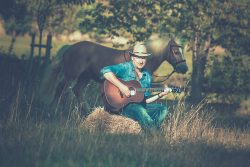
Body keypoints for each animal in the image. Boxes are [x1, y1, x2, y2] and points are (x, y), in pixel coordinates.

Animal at [51, 38, 188, 102]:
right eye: (176, 52)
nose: (184, 68)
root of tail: (69, 48)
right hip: (71, 75)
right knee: (60, 89)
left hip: (85, 77)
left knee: (77, 91)